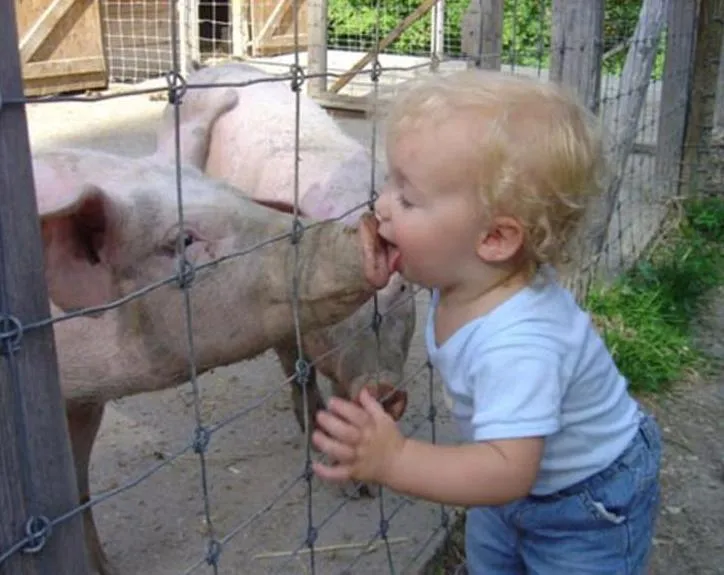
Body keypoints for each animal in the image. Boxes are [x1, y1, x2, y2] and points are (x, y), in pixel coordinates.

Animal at [34, 90, 394, 575]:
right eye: (184, 240)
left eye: (237, 196)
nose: (371, 229)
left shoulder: (86, 400)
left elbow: (79, 487)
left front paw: (105, 569)